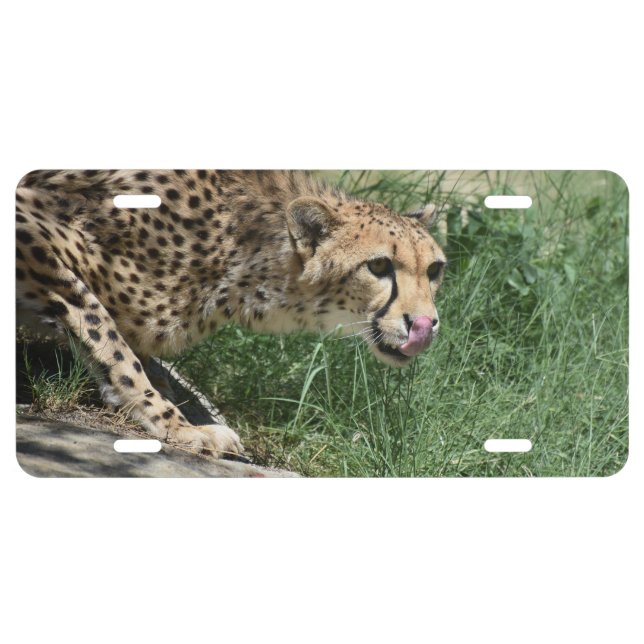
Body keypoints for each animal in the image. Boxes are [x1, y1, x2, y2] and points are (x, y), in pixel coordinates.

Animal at [16, 170, 446, 458]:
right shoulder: (30, 221)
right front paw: (171, 422)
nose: (424, 324)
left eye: (434, 270)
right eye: (378, 266)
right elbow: (105, 332)